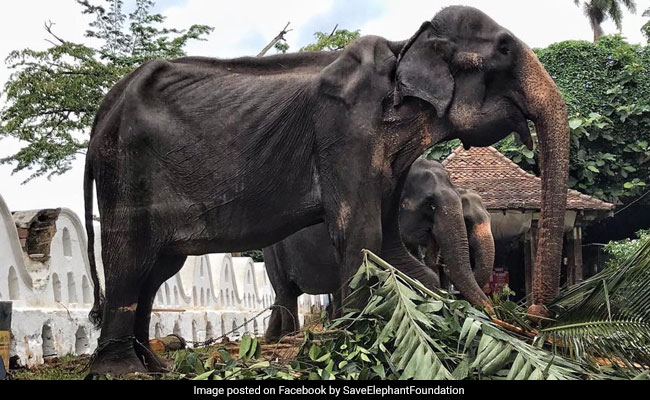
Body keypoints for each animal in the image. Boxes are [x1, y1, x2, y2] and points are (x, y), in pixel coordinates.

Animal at [263, 158, 495, 340]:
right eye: (430, 204)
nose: (494, 314)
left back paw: (273, 339)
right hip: (272, 253)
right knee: (287, 293)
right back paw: (289, 338)